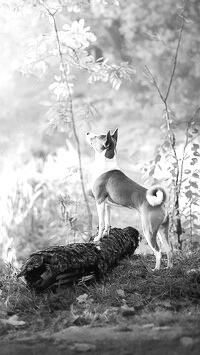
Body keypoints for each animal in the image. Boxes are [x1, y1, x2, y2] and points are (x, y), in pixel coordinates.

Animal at [86, 129, 172, 272]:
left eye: (97, 136)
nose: (87, 133)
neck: (106, 164)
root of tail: (160, 203)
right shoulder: (107, 204)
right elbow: (107, 222)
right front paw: (106, 234)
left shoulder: (99, 202)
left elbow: (102, 223)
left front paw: (98, 238)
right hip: (162, 230)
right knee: (169, 249)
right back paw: (168, 268)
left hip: (148, 231)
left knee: (158, 251)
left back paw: (156, 270)